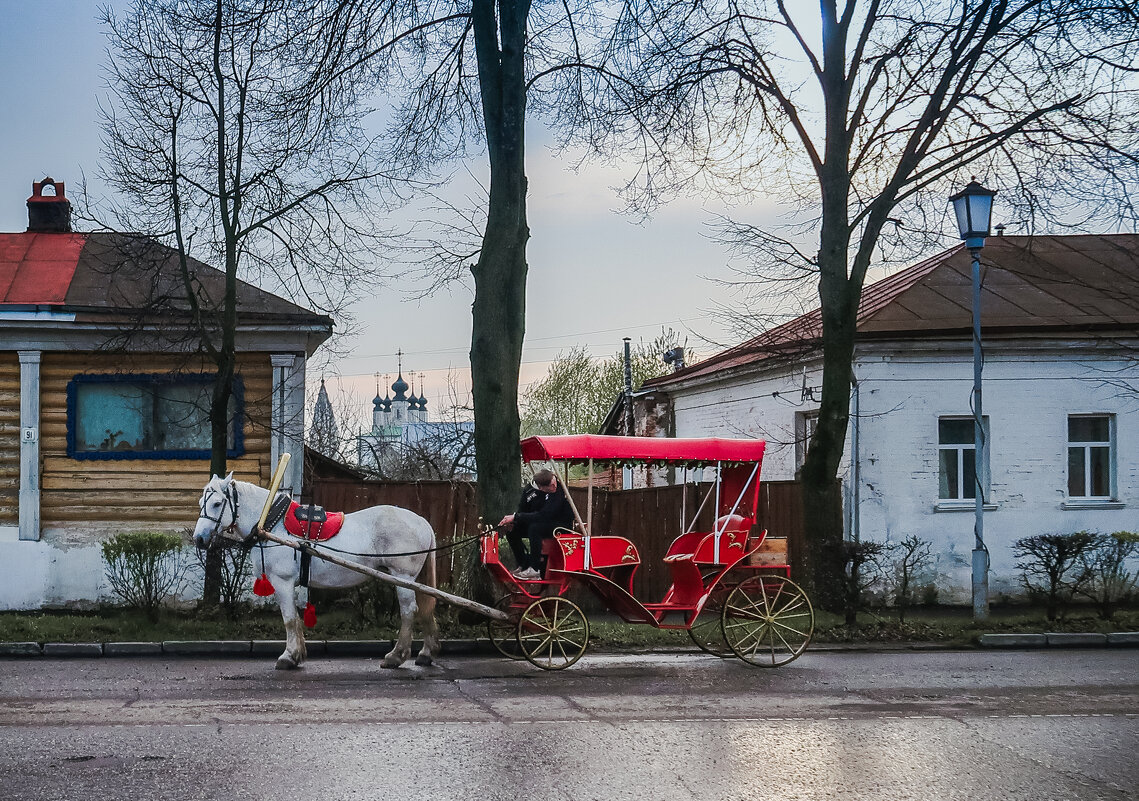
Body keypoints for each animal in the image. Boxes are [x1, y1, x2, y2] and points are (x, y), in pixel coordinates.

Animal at [191, 476, 439, 669]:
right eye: (201, 502)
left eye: (217, 503)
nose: (199, 539)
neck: (272, 525)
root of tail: (423, 522)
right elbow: (295, 618)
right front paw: (298, 654)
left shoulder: (282, 581)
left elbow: (289, 619)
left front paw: (288, 657)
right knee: (426, 609)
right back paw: (426, 653)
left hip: (402, 576)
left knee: (409, 611)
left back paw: (396, 656)